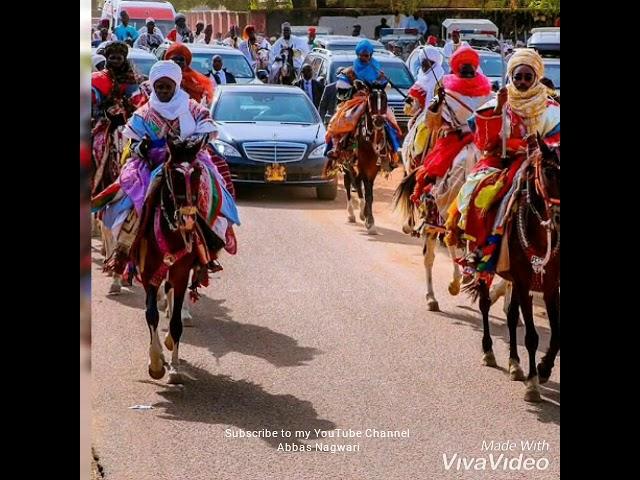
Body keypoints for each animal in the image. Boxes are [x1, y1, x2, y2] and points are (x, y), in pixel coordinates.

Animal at [130, 134, 225, 382]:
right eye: (173, 174)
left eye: (198, 172)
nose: (187, 219)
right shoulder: (148, 274)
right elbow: (151, 315)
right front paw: (155, 363)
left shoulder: (181, 274)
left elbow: (175, 324)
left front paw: (173, 367)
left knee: (171, 295)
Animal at [470, 137, 560, 404]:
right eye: (549, 172)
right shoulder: (524, 282)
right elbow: (531, 337)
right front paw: (533, 384)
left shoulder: (550, 285)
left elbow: (557, 334)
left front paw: (543, 368)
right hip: (486, 268)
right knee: (485, 305)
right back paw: (489, 351)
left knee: (510, 316)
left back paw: (515, 364)